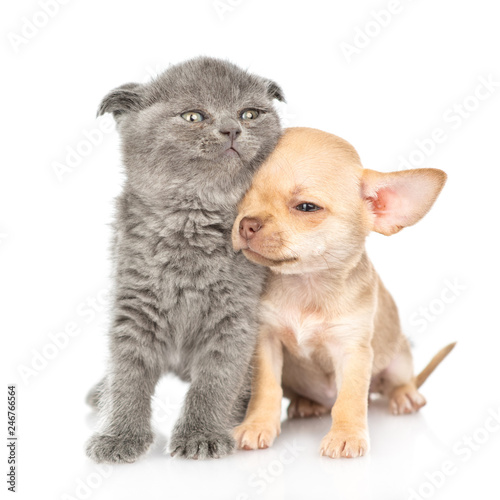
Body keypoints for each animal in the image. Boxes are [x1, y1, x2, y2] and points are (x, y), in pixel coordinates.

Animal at [84, 57, 284, 460]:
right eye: (193, 116)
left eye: (250, 113)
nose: (232, 129)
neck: (193, 220)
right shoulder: (133, 303)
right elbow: (126, 374)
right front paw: (118, 436)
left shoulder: (236, 315)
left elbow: (216, 379)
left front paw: (201, 434)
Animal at [230, 128, 454, 458]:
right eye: (243, 193)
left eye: (306, 207)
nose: (246, 224)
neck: (306, 285)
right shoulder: (266, 342)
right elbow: (266, 388)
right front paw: (258, 424)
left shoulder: (352, 350)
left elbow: (349, 397)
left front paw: (346, 434)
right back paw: (307, 403)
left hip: (398, 359)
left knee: (396, 383)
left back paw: (404, 395)